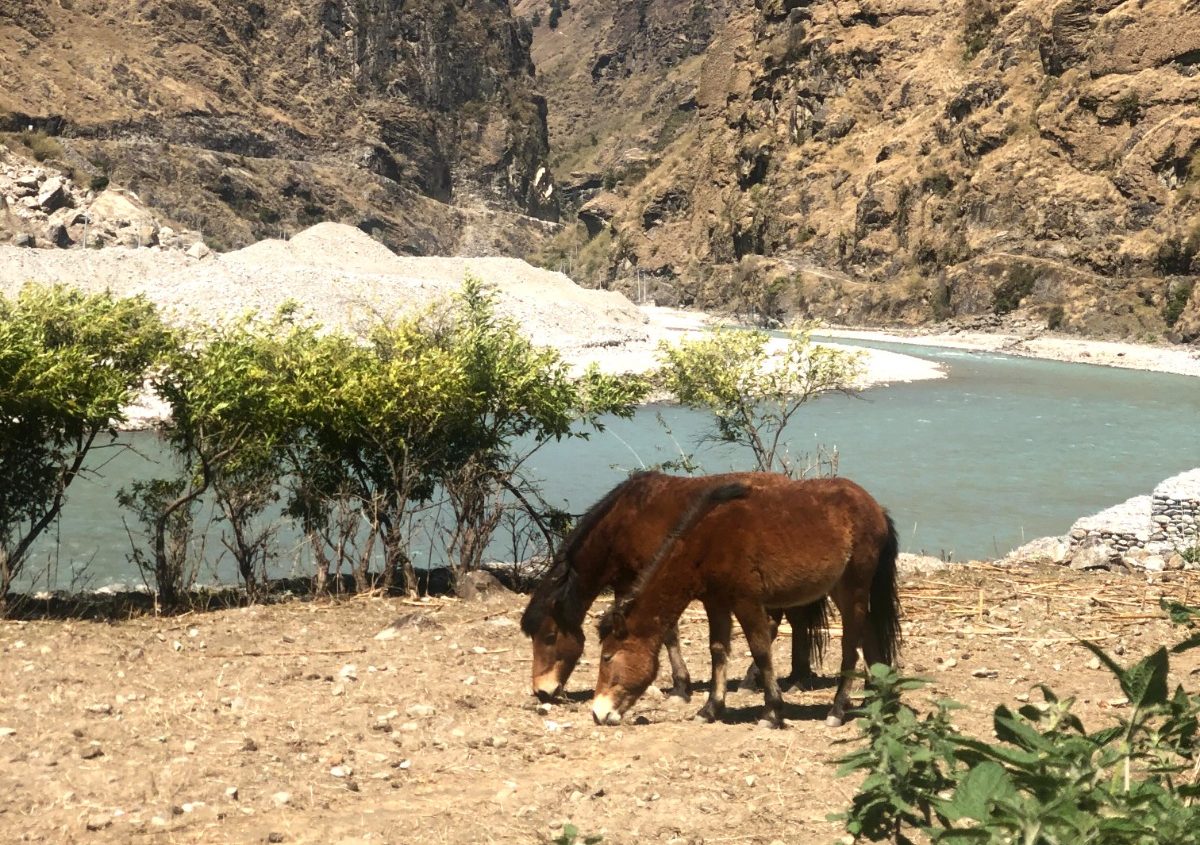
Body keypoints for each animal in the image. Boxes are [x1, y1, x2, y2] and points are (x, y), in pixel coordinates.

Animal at [519, 471, 828, 703]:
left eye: (549, 636)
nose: (542, 691)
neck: (626, 521)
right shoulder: (626, 585)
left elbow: (669, 634)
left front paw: (681, 687)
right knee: (796, 620)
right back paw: (795, 677)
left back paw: (763, 681)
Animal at [592, 474, 900, 729]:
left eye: (607, 657)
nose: (598, 713)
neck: (708, 540)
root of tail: (876, 509)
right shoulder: (716, 602)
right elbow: (718, 650)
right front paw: (710, 709)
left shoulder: (746, 601)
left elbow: (760, 650)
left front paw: (772, 713)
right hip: (841, 588)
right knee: (869, 635)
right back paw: (874, 700)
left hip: (854, 587)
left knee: (851, 643)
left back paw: (837, 710)